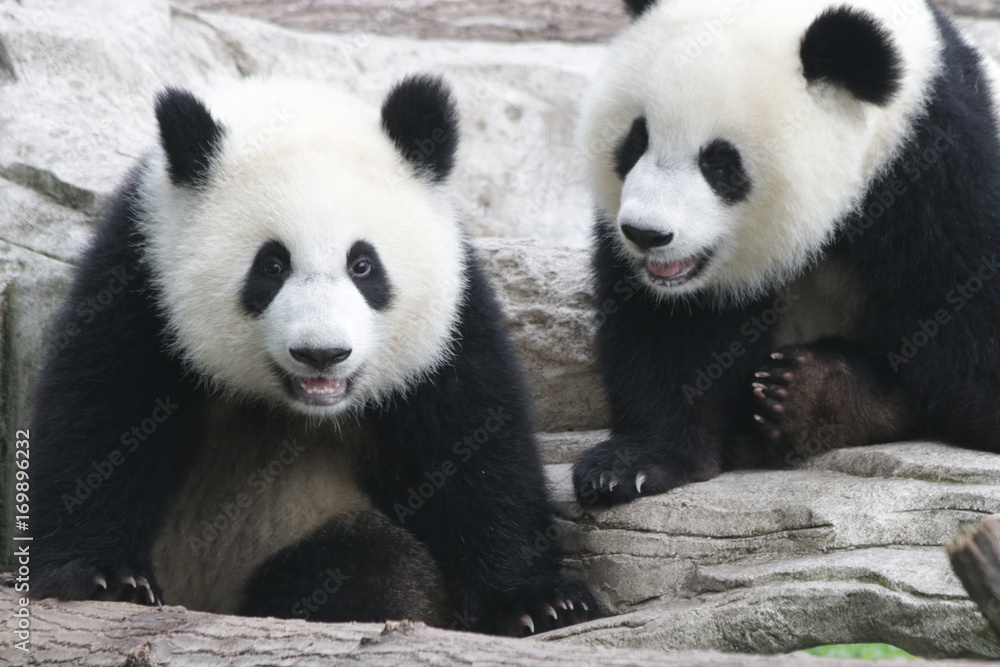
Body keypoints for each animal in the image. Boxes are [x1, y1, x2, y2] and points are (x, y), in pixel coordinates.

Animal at [29, 75, 596, 635]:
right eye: (272, 265)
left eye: (363, 265)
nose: (321, 353)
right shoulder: (141, 275)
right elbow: (102, 418)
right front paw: (106, 577)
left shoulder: (449, 323)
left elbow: (473, 447)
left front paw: (538, 602)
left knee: (362, 564)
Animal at [573, 0, 1000, 505]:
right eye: (636, 140)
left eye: (720, 163)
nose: (646, 234)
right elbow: (667, 330)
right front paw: (632, 464)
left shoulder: (935, 162)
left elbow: (967, 312)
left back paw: (816, 394)